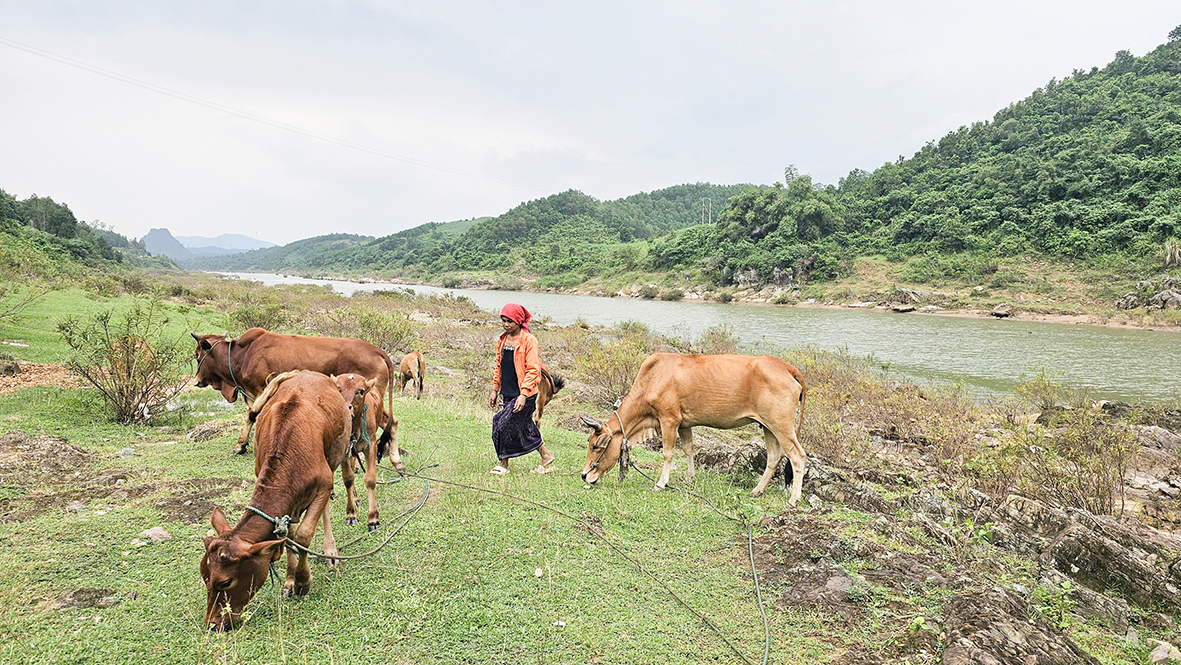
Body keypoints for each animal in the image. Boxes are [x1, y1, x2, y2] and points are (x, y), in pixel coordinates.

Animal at [191, 328, 399, 458]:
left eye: (197, 355)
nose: (196, 380)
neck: (243, 355)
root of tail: (377, 350)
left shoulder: (261, 389)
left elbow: (252, 415)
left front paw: (240, 445)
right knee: (392, 421)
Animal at [198, 373, 351, 633]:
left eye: (226, 582)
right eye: (204, 576)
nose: (213, 624)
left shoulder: (323, 485)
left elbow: (303, 535)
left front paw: (302, 580)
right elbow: (287, 536)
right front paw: (290, 579)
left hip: (335, 459)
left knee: (325, 511)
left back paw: (329, 550)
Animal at [335, 373, 403, 533]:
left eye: (361, 391)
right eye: (338, 389)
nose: (346, 407)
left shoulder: (371, 446)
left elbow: (371, 480)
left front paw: (373, 518)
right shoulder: (345, 450)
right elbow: (348, 479)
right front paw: (351, 514)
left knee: (392, 423)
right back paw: (355, 499)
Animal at [576, 356, 807, 507]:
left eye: (596, 446)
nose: (584, 475)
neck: (653, 377)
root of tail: (787, 367)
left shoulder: (669, 420)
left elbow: (668, 453)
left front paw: (661, 483)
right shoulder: (684, 424)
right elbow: (688, 449)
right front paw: (690, 478)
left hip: (781, 425)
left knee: (797, 456)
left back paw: (793, 499)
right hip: (768, 427)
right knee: (774, 457)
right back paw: (757, 491)